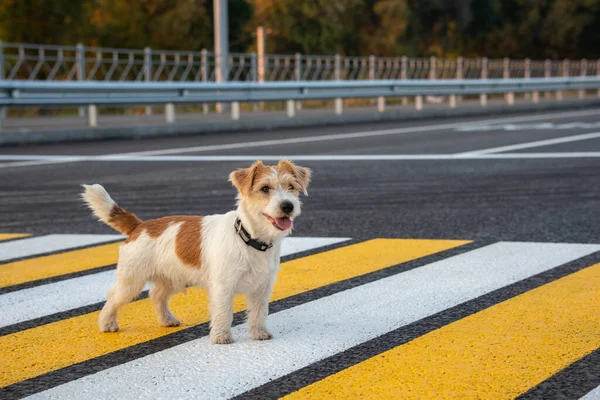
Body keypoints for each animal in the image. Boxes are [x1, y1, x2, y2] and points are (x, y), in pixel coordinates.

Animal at [80, 159, 312, 344]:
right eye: (264, 189)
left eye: (291, 187)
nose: (288, 206)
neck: (249, 238)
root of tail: (139, 225)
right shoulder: (223, 288)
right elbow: (223, 313)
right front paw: (221, 337)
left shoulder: (262, 288)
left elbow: (259, 312)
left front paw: (259, 333)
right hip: (131, 281)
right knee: (113, 297)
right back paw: (107, 323)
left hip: (171, 278)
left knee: (156, 295)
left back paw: (167, 319)